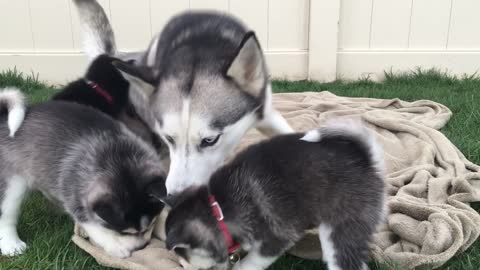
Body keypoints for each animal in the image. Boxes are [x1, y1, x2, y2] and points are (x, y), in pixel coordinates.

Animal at [0, 86, 167, 258]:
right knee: (6, 215)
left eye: (151, 224)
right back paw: (11, 245)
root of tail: (3, 118)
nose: (142, 247)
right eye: (124, 232)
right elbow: (94, 227)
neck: (119, 155)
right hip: (12, 185)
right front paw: (116, 246)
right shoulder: (74, 196)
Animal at [165, 120, 386, 270]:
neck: (218, 209)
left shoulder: (276, 237)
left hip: (341, 227)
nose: (182, 265)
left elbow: (252, 260)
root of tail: (365, 161)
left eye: (183, 256)